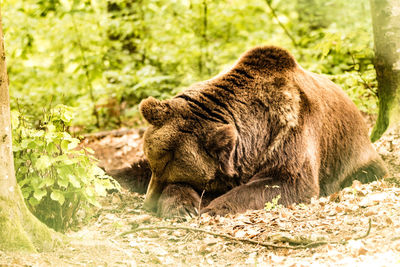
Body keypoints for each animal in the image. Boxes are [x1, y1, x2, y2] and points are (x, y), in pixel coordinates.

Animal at [118, 45, 384, 218]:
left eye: (173, 172)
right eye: (156, 165)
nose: (148, 204)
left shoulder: (291, 134)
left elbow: (288, 182)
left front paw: (212, 207)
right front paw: (183, 207)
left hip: (354, 158)